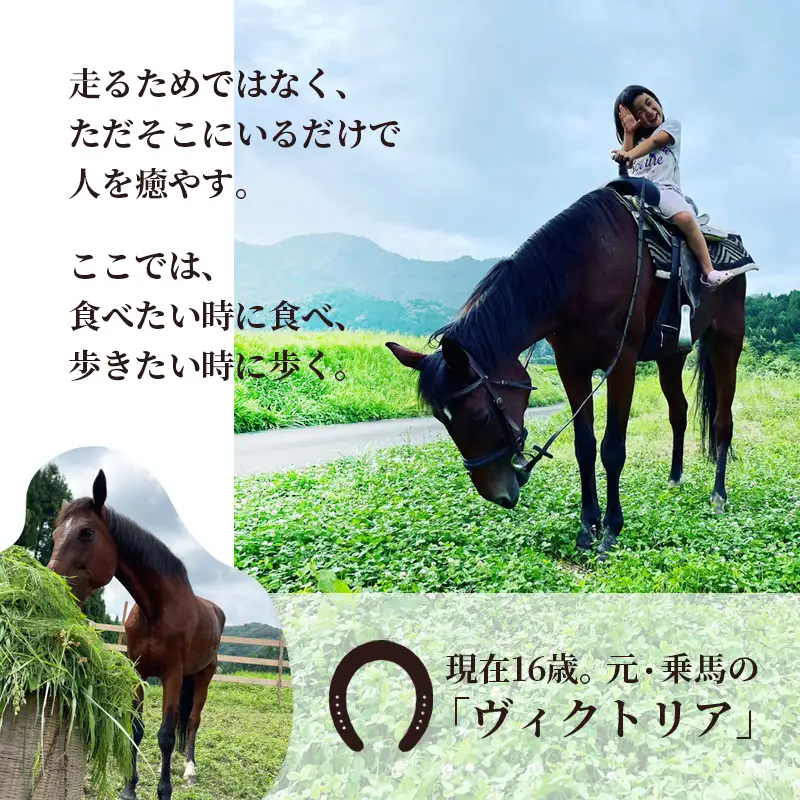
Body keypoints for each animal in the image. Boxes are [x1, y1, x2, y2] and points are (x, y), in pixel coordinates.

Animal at [47, 469, 225, 800]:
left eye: (87, 533)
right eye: (54, 535)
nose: (54, 584)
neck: (155, 610)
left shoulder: (172, 674)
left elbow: (166, 735)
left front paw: (164, 790)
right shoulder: (138, 671)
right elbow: (138, 729)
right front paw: (129, 787)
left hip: (203, 677)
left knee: (193, 722)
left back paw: (190, 770)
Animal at [387, 185, 746, 558]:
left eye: (481, 417)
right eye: (442, 420)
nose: (497, 495)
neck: (582, 270)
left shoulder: (622, 363)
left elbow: (612, 449)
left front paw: (611, 531)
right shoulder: (570, 366)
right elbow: (584, 446)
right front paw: (588, 525)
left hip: (727, 340)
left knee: (722, 421)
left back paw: (718, 496)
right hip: (671, 355)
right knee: (679, 411)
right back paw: (675, 478)